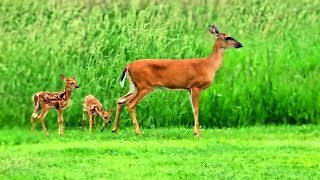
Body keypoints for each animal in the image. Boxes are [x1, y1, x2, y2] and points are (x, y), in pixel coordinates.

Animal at [112, 25, 242, 136]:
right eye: (228, 37)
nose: (240, 45)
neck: (209, 65)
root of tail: (128, 66)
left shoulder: (189, 88)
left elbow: (193, 108)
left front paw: (196, 132)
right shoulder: (196, 86)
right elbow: (196, 109)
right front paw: (197, 133)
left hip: (134, 86)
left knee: (121, 100)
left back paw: (115, 129)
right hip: (144, 86)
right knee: (130, 104)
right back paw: (138, 132)